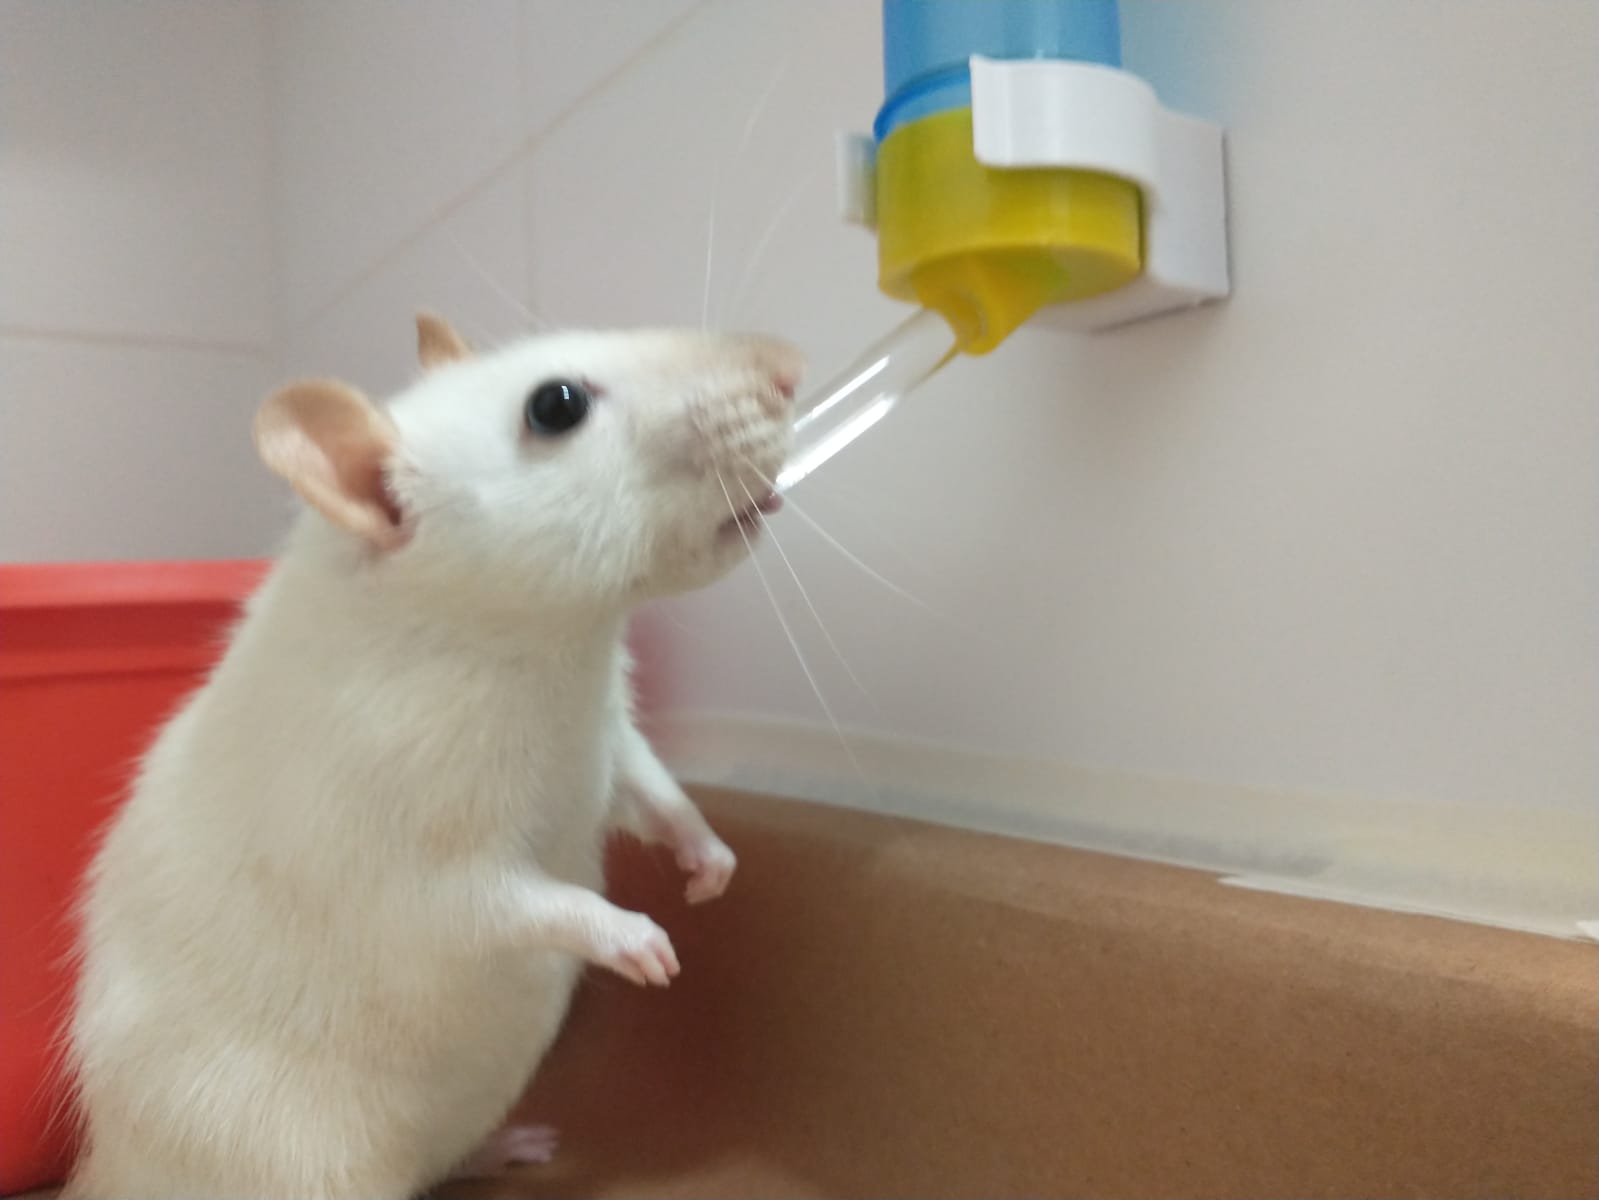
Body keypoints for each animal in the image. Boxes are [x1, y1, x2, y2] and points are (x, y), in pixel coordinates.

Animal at [63, 313, 802, 1200]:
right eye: (556, 406)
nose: (788, 367)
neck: (550, 650)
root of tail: (110, 1172)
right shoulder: (389, 820)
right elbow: (480, 904)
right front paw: (629, 936)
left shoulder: (610, 733)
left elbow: (648, 787)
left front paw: (707, 857)